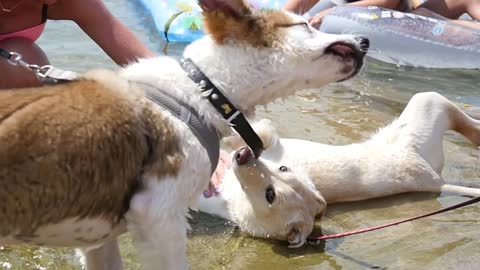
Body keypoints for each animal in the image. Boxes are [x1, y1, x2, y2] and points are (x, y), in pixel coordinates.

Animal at [197, 92, 480, 248]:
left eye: (270, 195)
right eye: (284, 167)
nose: (243, 156)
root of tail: (435, 181)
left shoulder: (268, 141)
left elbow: (258, 130)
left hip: (425, 106)